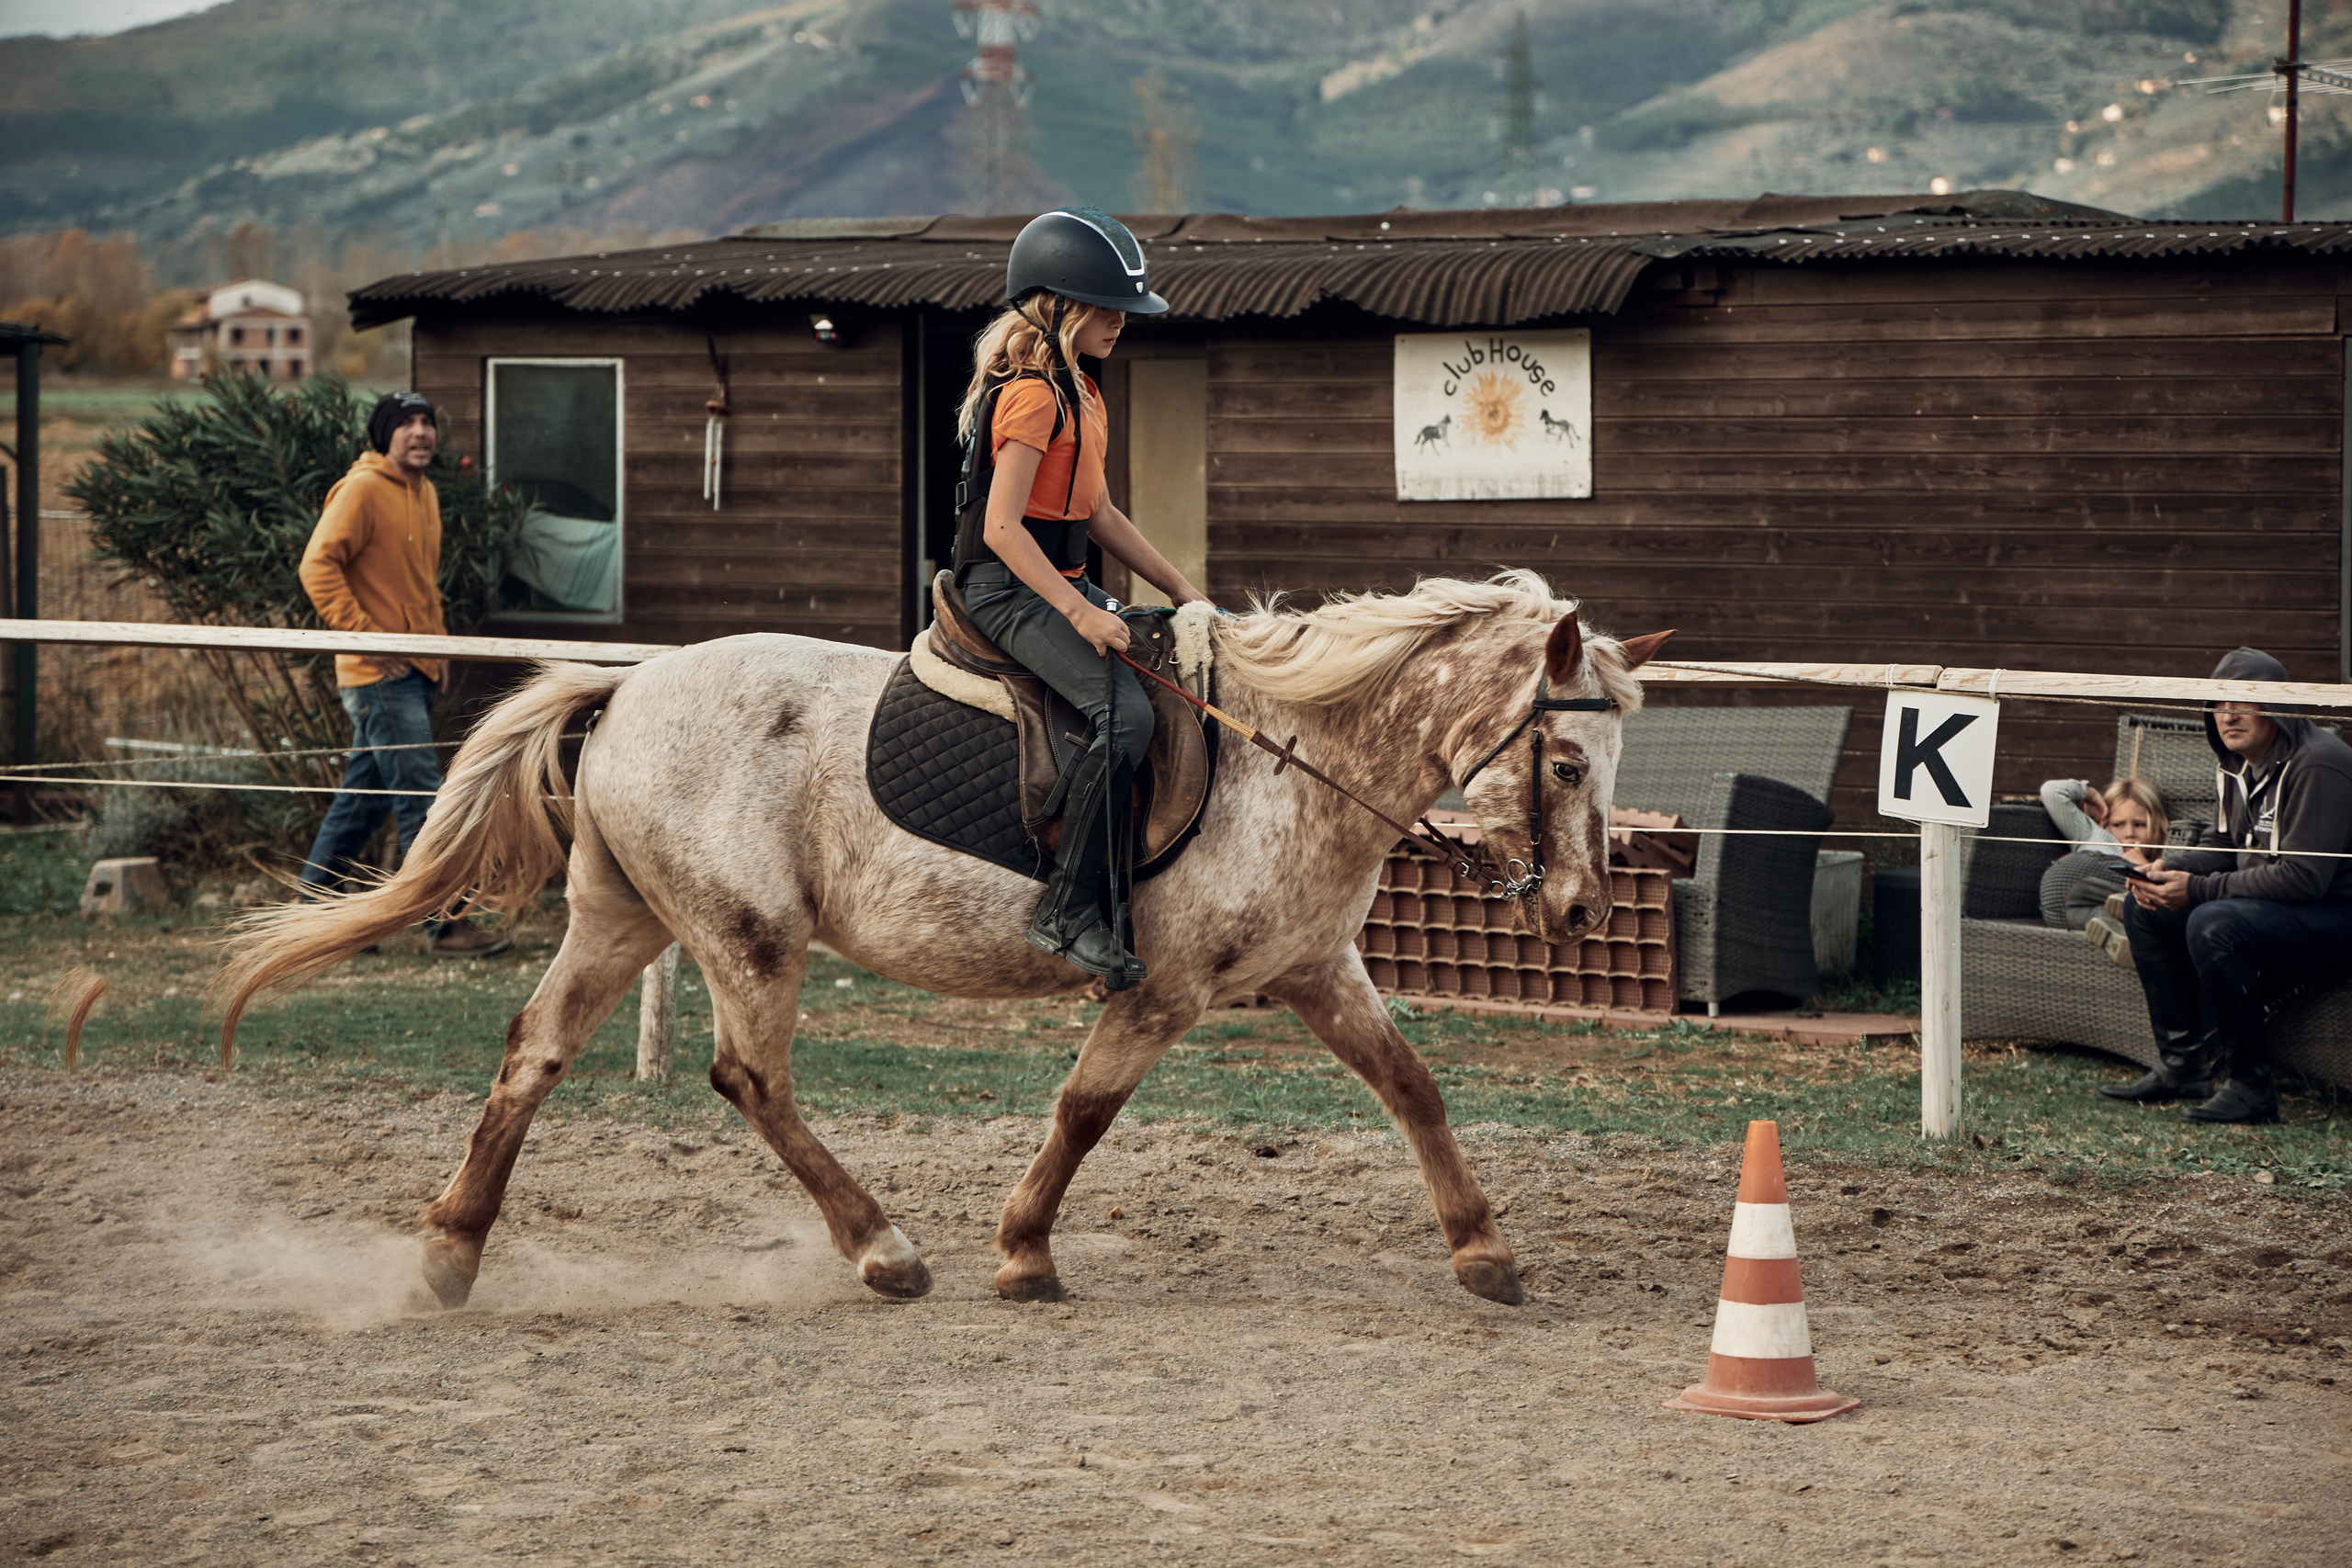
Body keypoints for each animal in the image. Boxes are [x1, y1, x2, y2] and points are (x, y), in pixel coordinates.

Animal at [217, 571, 1670, 1313]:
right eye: (1562, 759)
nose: (1579, 910)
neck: (1290, 755)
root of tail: (625, 687)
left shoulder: (1316, 970)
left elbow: (1413, 1087)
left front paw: (1485, 1251)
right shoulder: (1165, 989)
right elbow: (1084, 1111)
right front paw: (1022, 1251)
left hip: (623, 921)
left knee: (532, 1055)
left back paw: (451, 1251)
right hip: (747, 933)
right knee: (750, 1078)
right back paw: (882, 1248)